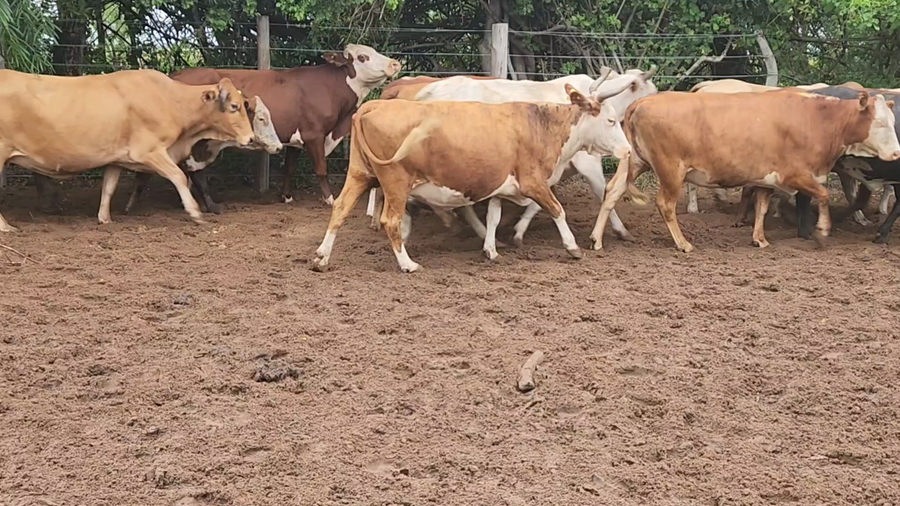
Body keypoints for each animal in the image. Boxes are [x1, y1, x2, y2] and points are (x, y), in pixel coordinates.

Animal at [0, 68, 254, 231]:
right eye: (234, 106)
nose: (251, 137)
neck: (169, 100)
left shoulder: (116, 158)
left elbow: (109, 187)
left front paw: (104, 219)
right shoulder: (150, 151)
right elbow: (179, 176)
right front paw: (195, 212)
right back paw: (6, 227)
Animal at [119, 44, 401, 214]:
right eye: (363, 57)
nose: (395, 64)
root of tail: (175, 75)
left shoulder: (297, 138)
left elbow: (289, 167)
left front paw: (286, 196)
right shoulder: (315, 135)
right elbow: (321, 169)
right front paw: (329, 199)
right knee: (192, 169)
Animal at [312, 84, 633, 273]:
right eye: (610, 120)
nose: (628, 149)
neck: (540, 125)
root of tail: (374, 105)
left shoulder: (501, 186)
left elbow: (492, 216)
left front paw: (491, 250)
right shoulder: (533, 181)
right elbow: (557, 210)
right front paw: (572, 247)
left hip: (360, 174)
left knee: (340, 209)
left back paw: (321, 257)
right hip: (395, 183)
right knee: (390, 221)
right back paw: (408, 263)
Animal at [609, 90, 900, 252]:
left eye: (892, 121)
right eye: (880, 122)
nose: (897, 153)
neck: (819, 119)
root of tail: (643, 101)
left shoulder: (765, 179)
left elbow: (761, 207)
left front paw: (759, 239)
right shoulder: (794, 175)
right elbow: (823, 195)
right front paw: (821, 231)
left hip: (636, 162)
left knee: (612, 191)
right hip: (671, 170)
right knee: (665, 204)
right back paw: (683, 243)